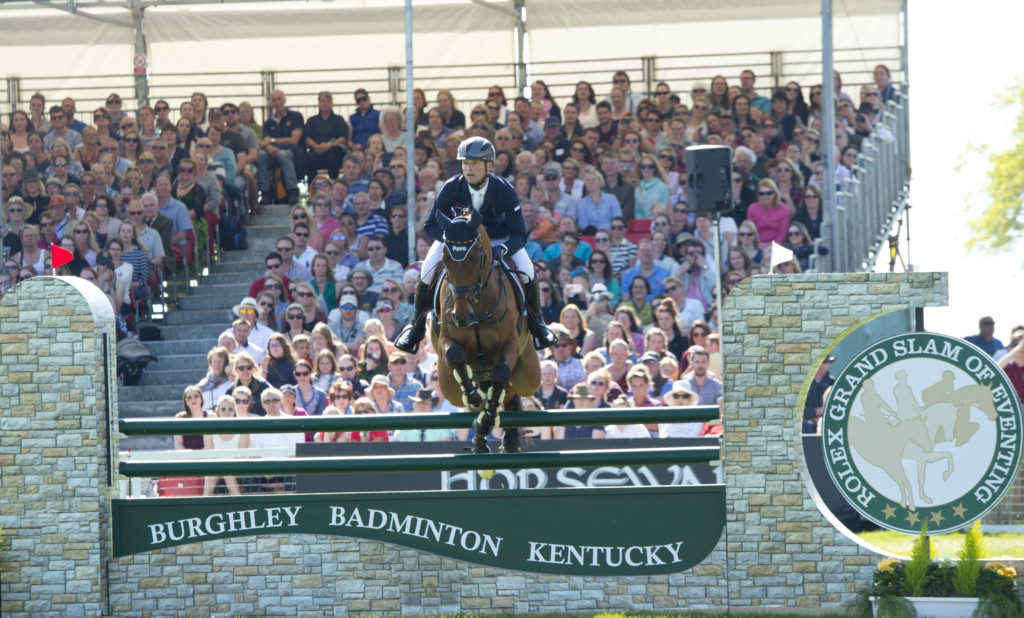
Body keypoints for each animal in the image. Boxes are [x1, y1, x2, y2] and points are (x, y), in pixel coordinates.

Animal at [425, 207, 540, 454]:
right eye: (445, 260)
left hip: (528, 376)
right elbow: (455, 355)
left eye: (477, 258)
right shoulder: (446, 340)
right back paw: (480, 442)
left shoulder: (510, 344)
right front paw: (476, 401)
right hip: (448, 386)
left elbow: (501, 374)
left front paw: (487, 420)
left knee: (510, 390)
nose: (461, 317)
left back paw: (508, 440)